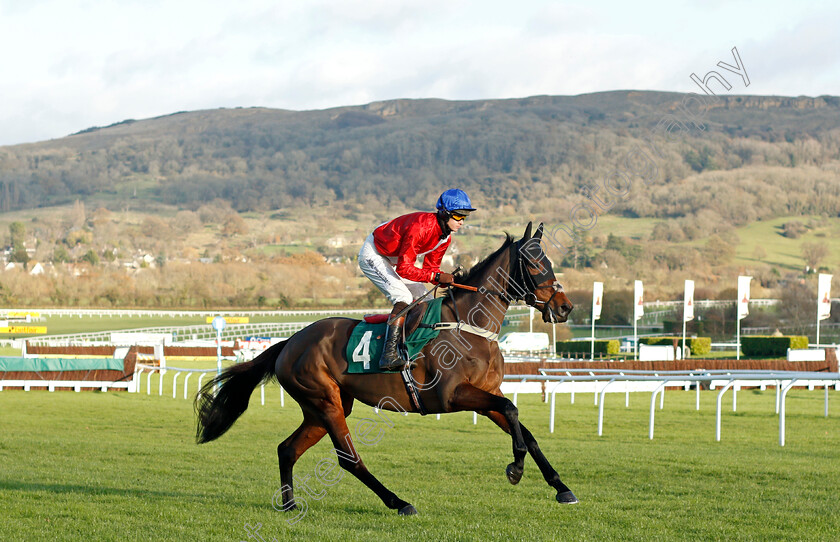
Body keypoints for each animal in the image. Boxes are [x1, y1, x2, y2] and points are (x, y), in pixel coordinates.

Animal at [197, 223, 576, 516]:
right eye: (534, 262)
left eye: (548, 260)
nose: (565, 307)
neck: (468, 325)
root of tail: (289, 342)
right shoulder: (452, 396)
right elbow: (512, 410)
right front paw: (515, 469)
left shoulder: (487, 394)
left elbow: (524, 428)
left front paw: (561, 487)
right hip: (325, 401)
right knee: (349, 459)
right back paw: (399, 502)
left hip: (323, 407)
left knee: (287, 448)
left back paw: (289, 504)